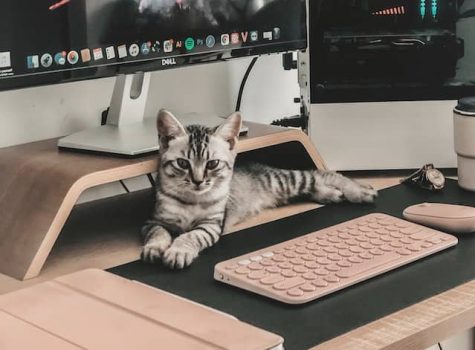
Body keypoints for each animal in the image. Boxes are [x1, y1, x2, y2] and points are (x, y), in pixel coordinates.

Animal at [140, 110, 376, 270]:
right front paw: (155, 248)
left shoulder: (211, 226)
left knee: (321, 174)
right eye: (183, 163)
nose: (198, 181)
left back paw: (358, 191)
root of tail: (259, 163)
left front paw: (178, 251)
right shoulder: (153, 220)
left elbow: (191, 236)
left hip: (286, 180)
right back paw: (331, 194)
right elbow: (158, 233)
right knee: (315, 185)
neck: (191, 200)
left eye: (212, 164)